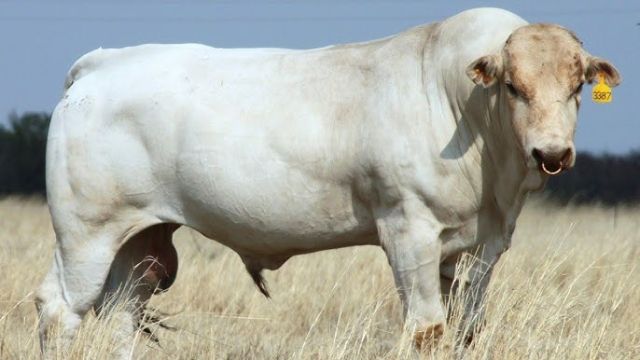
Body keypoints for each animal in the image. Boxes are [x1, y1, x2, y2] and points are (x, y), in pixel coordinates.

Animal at [35, 7, 620, 356]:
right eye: (514, 86)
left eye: (578, 87)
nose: (552, 152)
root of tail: (102, 64)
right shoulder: (408, 229)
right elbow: (427, 330)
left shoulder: (481, 247)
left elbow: (466, 331)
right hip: (84, 233)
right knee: (59, 309)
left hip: (137, 241)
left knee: (121, 316)